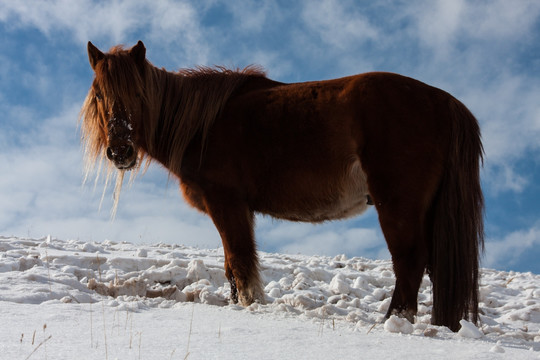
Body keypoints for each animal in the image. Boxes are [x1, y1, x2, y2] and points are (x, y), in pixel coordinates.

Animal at [80, 40, 486, 332]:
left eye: (138, 94)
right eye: (99, 95)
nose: (120, 151)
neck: (202, 125)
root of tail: (446, 103)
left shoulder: (226, 202)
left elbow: (240, 261)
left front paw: (249, 304)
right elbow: (231, 265)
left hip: (398, 204)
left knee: (409, 261)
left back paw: (392, 323)